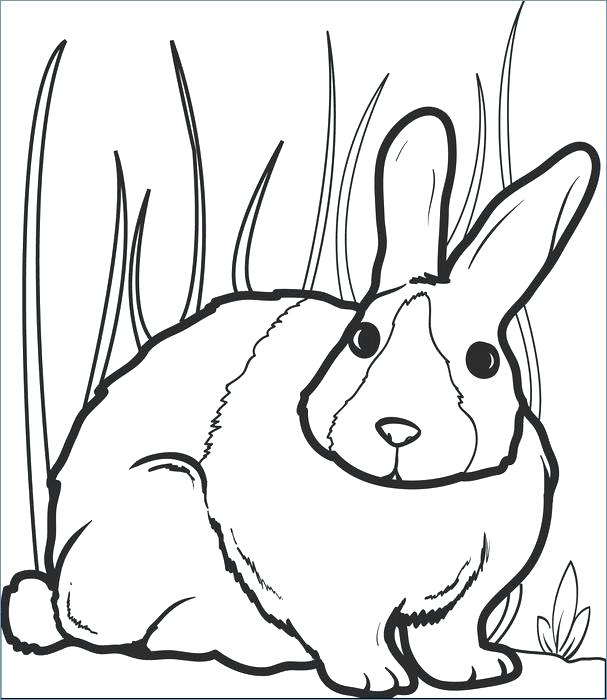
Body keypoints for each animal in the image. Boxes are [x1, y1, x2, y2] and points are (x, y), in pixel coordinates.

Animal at [2, 106, 599, 699]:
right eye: (363, 339)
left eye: (484, 360)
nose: (398, 429)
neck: (409, 494)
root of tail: (56, 587)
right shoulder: (322, 586)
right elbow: (350, 633)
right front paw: (376, 679)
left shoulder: (463, 598)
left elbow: (447, 636)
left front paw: (478, 671)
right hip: (162, 500)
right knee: (144, 634)